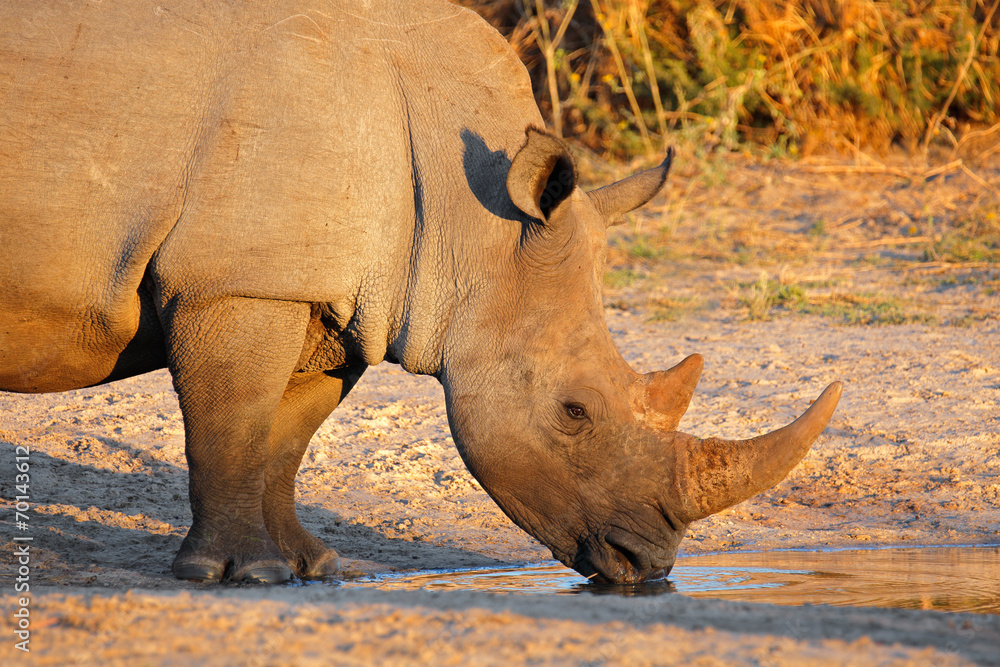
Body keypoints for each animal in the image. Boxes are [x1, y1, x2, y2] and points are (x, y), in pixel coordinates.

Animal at [0, 0, 841, 585]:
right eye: (573, 413)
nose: (650, 564)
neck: (472, 217)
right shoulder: (239, 279)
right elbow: (231, 422)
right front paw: (240, 573)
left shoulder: (325, 295)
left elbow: (284, 437)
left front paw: (311, 566)